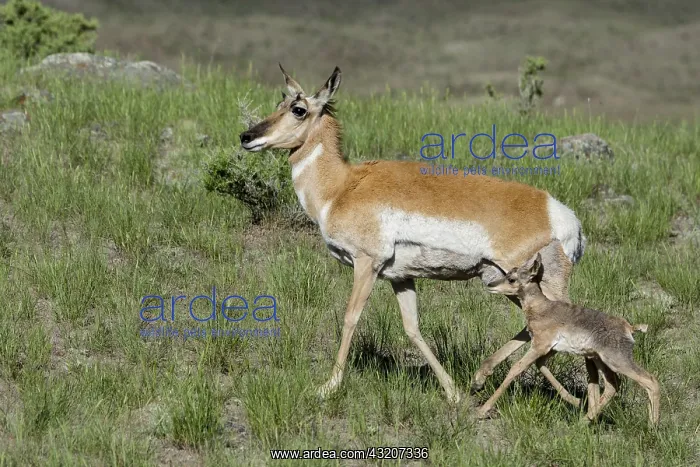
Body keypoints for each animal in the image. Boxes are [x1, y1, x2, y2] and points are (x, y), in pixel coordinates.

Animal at [239, 65, 587, 404]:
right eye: (279, 103)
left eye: (298, 109)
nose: (246, 136)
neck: (341, 188)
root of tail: (561, 215)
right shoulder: (401, 277)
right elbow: (412, 328)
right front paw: (452, 392)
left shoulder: (366, 263)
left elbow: (351, 317)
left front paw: (329, 386)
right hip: (510, 284)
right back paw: (482, 377)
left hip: (539, 283)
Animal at [482, 253, 660, 425]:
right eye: (508, 273)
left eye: (512, 279)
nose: (490, 285)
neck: (542, 308)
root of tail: (628, 327)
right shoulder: (550, 350)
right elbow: (540, 365)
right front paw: (575, 401)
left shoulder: (539, 346)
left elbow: (515, 369)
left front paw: (482, 410)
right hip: (600, 360)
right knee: (612, 386)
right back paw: (585, 420)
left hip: (617, 361)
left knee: (650, 381)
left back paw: (652, 426)